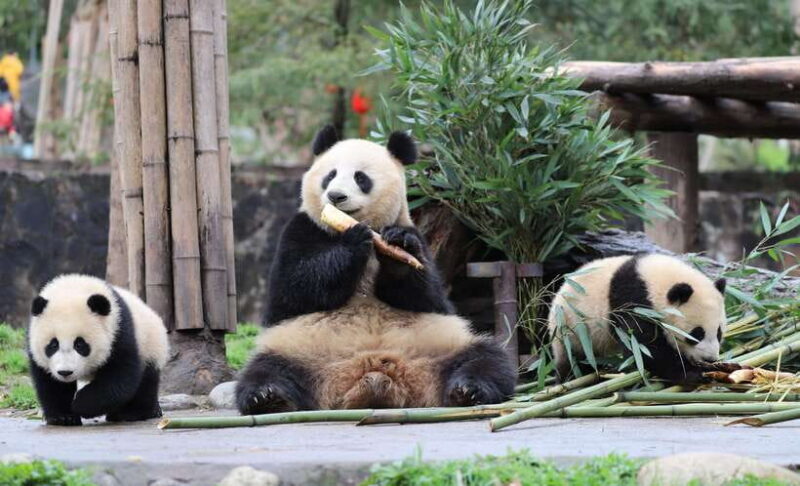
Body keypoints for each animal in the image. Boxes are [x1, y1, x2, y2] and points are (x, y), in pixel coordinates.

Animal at [28, 274, 169, 425]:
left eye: (80, 344)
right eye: (53, 345)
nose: (65, 372)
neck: (73, 288)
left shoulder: (119, 332)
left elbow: (119, 377)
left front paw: (80, 404)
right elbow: (52, 385)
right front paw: (63, 417)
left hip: (150, 346)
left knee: (146, 383)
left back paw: (131, 413)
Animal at [235, 125, 516, 414]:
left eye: (361, 178)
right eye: (330, 175)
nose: (335, 196)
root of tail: (371, 373)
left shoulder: (416, 235)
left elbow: (428, 296)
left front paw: (399, 248)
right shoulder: (300, 229)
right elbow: (293, 289)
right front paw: (353, 241)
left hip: (441, 343)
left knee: (487, 358)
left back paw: (468, 390)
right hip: (298, 347)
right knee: (266, 369)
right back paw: (269, 398)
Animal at [547, 254, 727, 384]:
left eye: (719, 333)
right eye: (696, 334)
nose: (710, 359)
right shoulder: (633, 301)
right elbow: (645, 347)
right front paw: (693, 373)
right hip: (573, 329)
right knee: (575, 360)